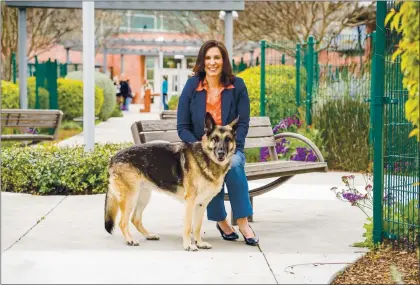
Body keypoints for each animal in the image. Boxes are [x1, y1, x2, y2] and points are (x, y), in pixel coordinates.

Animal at [103, 112, 238, 250]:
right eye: (215, 138)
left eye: (228, 139)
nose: (221, 153)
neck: (206, 159)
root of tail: (113, 157)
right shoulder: (190, 202)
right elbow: (188, 226)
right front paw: (188, 245)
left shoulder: (202, 204)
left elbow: (197, 227)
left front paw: (199, 243)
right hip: (131, 198)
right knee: (122, 222)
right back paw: (130, 240)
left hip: (143, 196)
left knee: (135, 219)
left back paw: (149, 235)